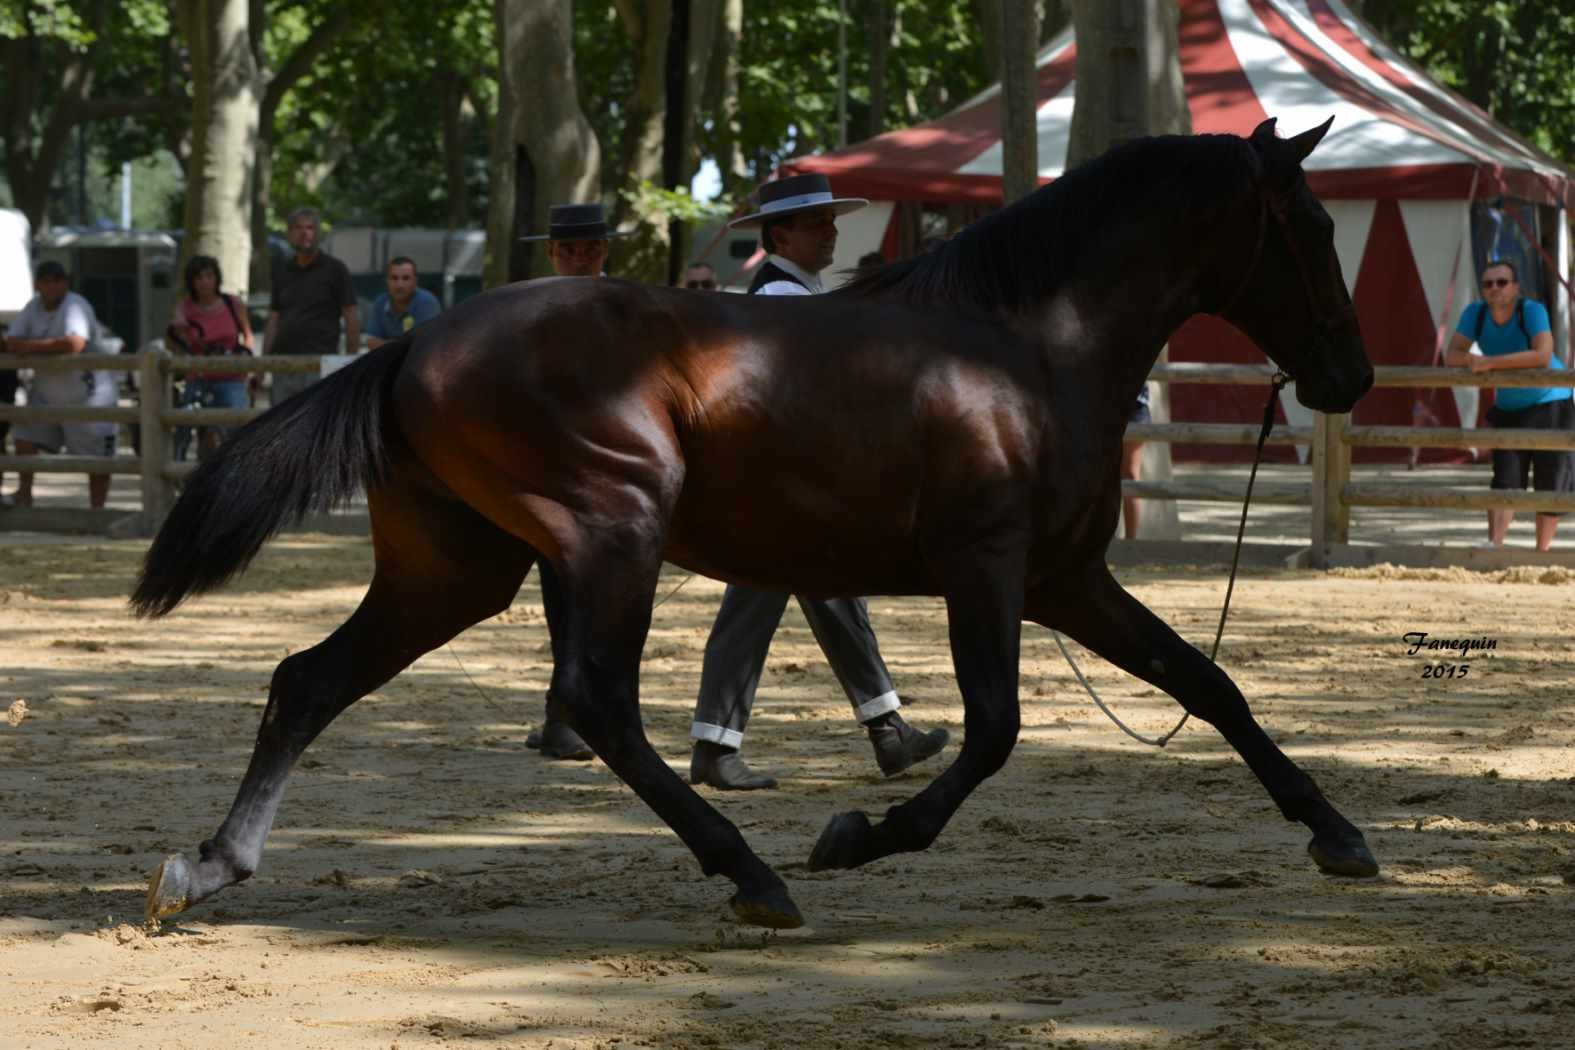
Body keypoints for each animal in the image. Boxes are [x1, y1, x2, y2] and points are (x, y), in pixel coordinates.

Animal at [138, 118, 1379, 931]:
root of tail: (408, 344)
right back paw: (752, 876)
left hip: (456, 569)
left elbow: (1208, 684)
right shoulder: (985, 567)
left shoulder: (1066, 578)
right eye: (1313, 225)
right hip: (613, 533)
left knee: (312, 679)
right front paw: (857, 837)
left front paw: (1336, 833)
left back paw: (210, 866)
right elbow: (994, 730)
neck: (1026, 350)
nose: (1353, 377)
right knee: (594, 703)